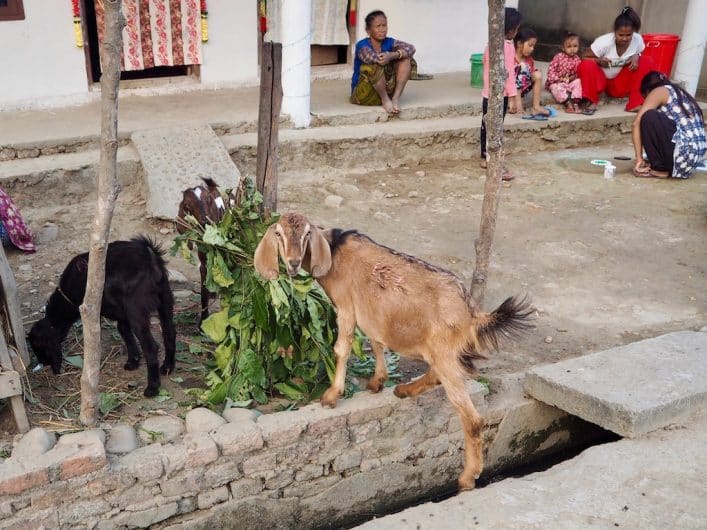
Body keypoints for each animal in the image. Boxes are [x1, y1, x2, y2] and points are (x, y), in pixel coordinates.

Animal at [30, 236, 178, 396]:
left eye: (39, 347)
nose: (43, 364)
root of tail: (149, 258)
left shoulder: (95, 313)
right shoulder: (122, 314)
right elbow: (124, 332)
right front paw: (133, 361)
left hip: (136, 310)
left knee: (151, 348)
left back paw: (152, 388)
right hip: (165, 299)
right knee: (169, 332)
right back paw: (168, 367)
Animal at [254, 211, 532, 490]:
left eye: (307, 234)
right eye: (278, 233)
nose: (292, 263)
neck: (335, 251)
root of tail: (472, 314)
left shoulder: (346, 307)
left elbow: (342, 348)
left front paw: (332, 396)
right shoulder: (370, 311)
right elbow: (377, 341)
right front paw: (377, 381)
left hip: (443, 351)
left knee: (471, 417)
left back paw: (467, 478)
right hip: (441, 351)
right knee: (437, 376)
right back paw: (403, 390)